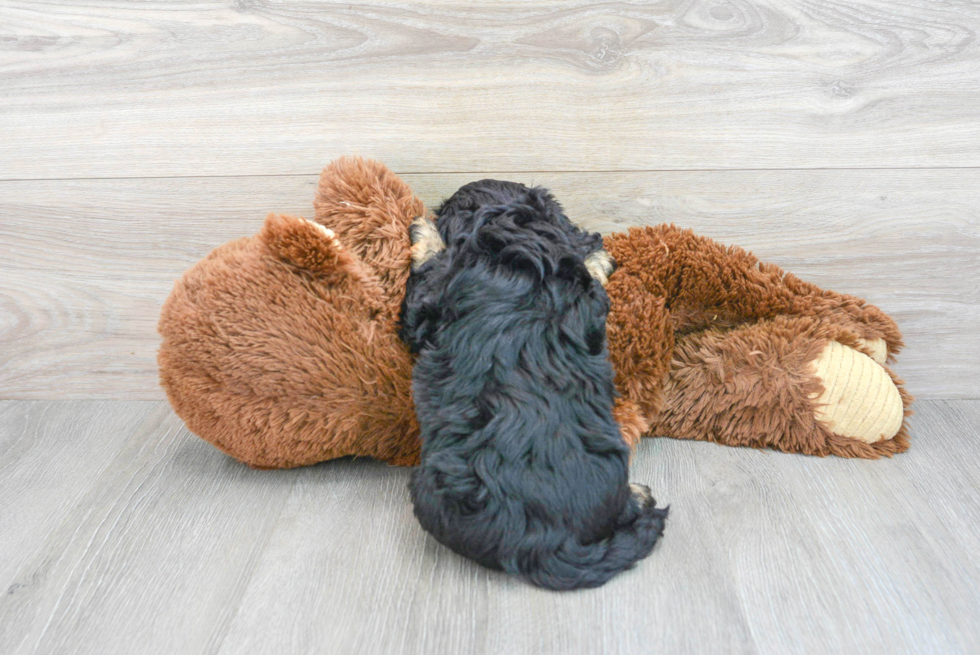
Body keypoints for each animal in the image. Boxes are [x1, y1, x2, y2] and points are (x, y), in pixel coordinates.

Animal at [398, 182, 668, 592]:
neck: (518, 241)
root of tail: (546, 541)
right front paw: (599, 256)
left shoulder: (426, 303)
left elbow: (428, 272)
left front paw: (424, 230)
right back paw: (639, 495)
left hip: (429, 489)